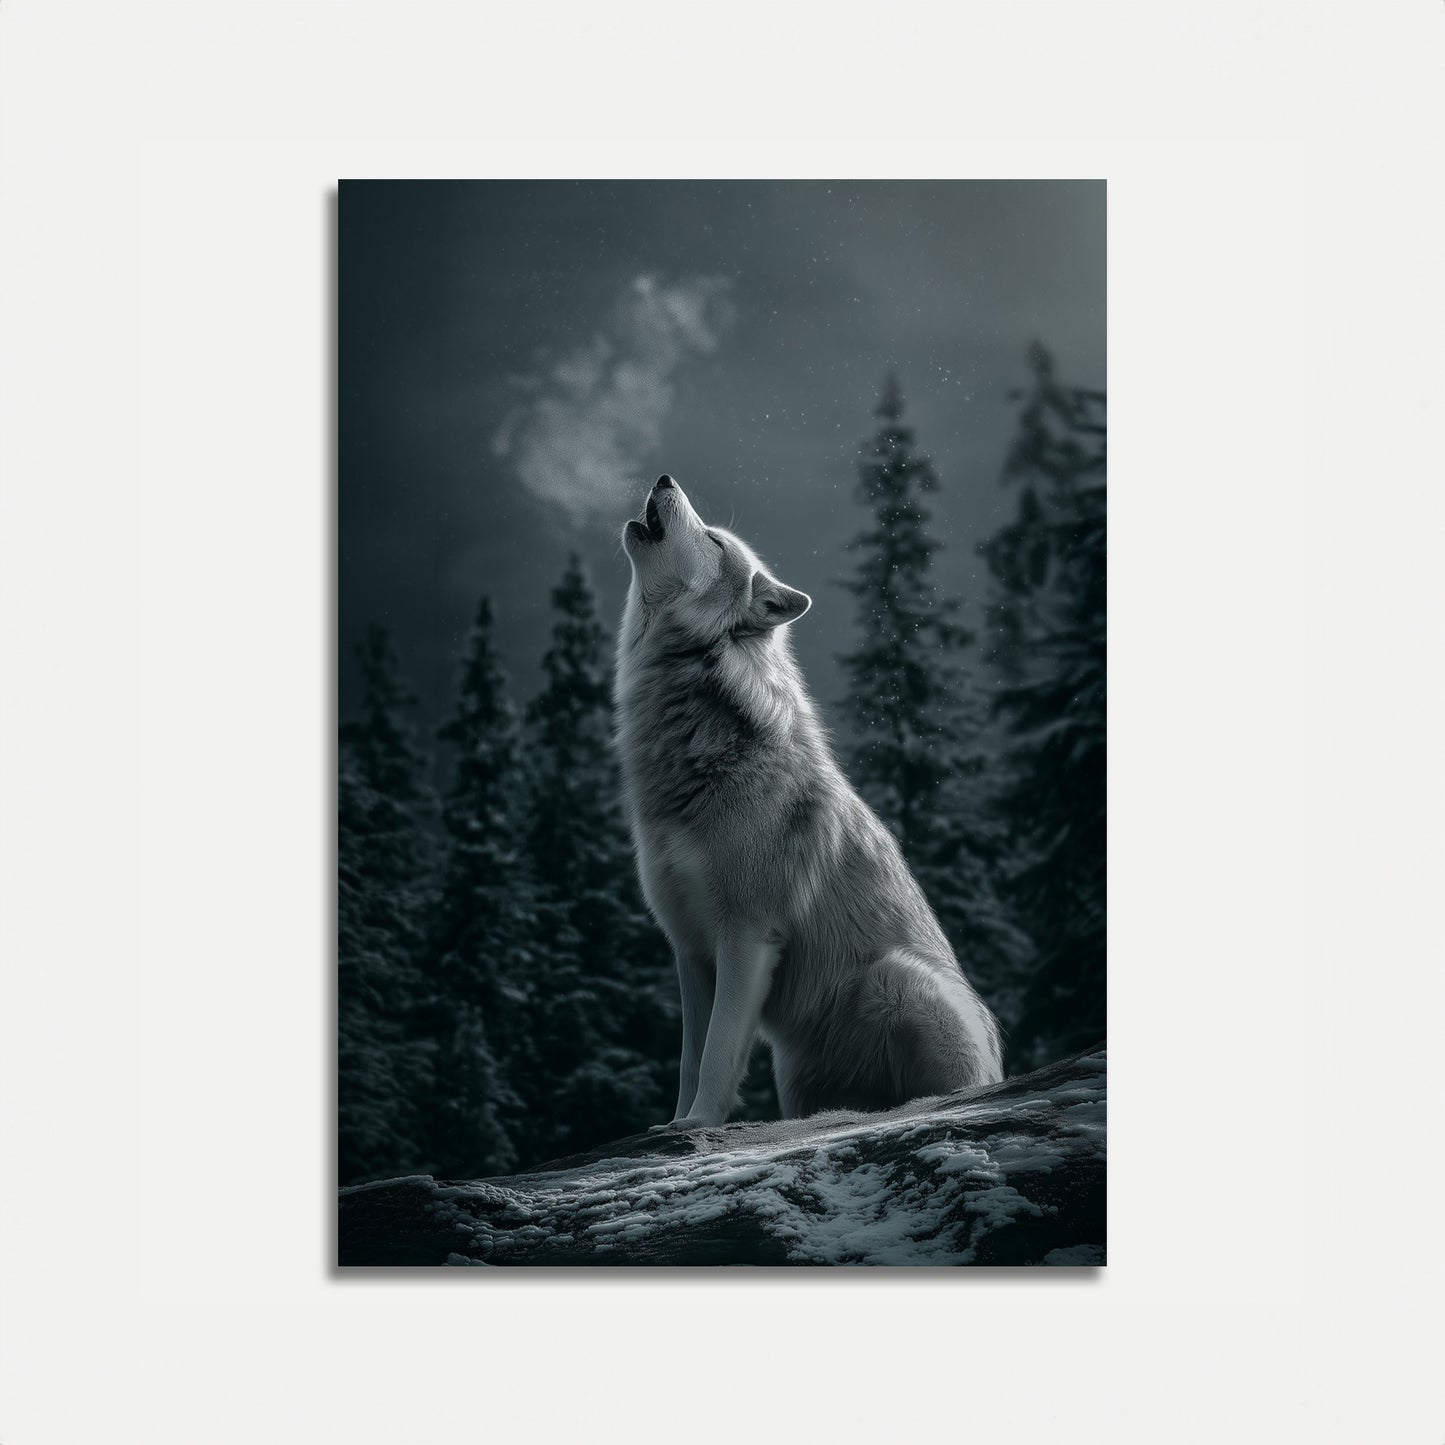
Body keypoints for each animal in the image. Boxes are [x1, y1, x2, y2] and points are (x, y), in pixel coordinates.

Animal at [616, 474, 1003, 1129]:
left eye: (714, 541)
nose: (666, 479)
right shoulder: (689, 950)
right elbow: (690, 1057)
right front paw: (673, 1125)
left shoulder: (747, 937)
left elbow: (718, 1052)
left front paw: (698, 1126)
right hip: (795, 1073)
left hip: (898, 979)